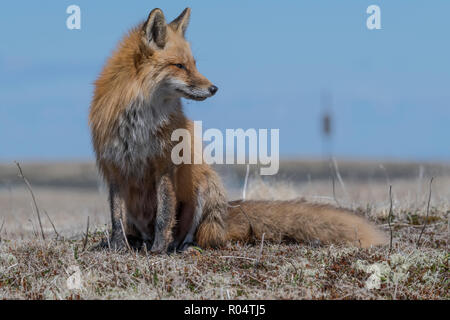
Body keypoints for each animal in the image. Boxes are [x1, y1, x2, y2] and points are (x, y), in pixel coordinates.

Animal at [89, 8, 386, 252]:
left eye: (194, 64)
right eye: (180, 66)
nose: (214, 88)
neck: (140, 121)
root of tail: (226, 214)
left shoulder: (165, 165)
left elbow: (164, 217)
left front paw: (158, 252)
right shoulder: (115, 167)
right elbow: (116, 217)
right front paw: (119, 248)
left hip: (206, 186)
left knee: (202, 237)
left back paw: (182, 247)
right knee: (142, 230)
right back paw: (138, 243)